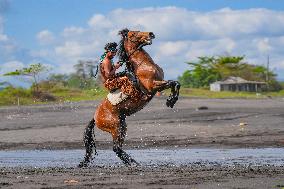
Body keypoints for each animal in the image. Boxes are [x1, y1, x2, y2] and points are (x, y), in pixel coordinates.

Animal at [78, 28, 180, 167]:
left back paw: (133, 162)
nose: (151, 34)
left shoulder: (160, 83)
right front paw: (171, 100)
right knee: (116, 148)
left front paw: (171, 100)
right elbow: (173, 83)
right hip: (115, 127)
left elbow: (175, 83)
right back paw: (133, 163)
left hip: (122, 125)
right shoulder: (152, 86)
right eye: (133, 34)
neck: (143, 64)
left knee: (118, 148)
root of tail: (95, 117)